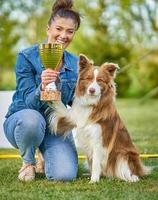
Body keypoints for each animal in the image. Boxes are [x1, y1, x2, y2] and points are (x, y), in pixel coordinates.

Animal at [48, 54, 150, 183]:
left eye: (100, 80)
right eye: (88, 78)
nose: (92, 90)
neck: (92, 104)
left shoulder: (99, 141)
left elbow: (96, 163)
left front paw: (94, 180)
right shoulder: (75, 118)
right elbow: (62, 108)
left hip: (122, 155)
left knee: (128, 171)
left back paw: (132, 178)